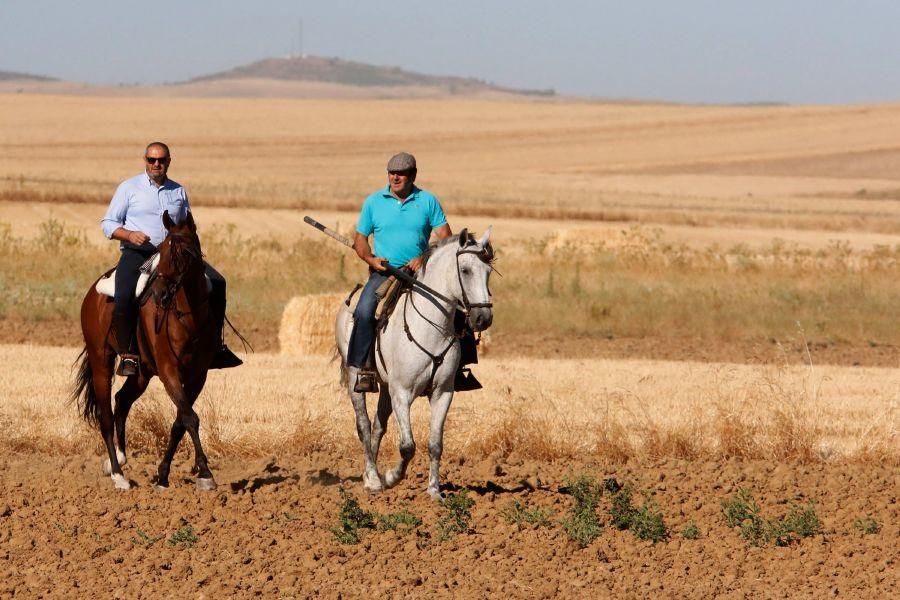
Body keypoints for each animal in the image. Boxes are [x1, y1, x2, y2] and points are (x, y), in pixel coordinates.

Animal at [72, 210, 220, 488]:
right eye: (161, 250)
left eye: (185, 252)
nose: (160, 294)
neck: (187, 317)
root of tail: (92, 293)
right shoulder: (168, 370)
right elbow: (190, 417)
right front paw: (205, 472)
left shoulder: (198, 376)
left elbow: (181, 420)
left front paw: (163, 474)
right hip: (101, 361)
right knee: (106, 416)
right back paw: (118, 475)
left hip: (142, 373)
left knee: (122, 400)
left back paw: (120, 457)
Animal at [336, 227, 496, 500]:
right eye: (465, 270)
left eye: (488, 271)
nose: (483, 318)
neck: (432, 326)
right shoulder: (402, 393)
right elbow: (408, 446)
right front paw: (391, 477)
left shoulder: (443, 393)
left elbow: (435, 444)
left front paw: (434, 491)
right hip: (355, 377)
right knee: (364, 425)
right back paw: (373, 480)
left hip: (385, 387)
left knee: (378, 427)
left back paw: (371, 475)